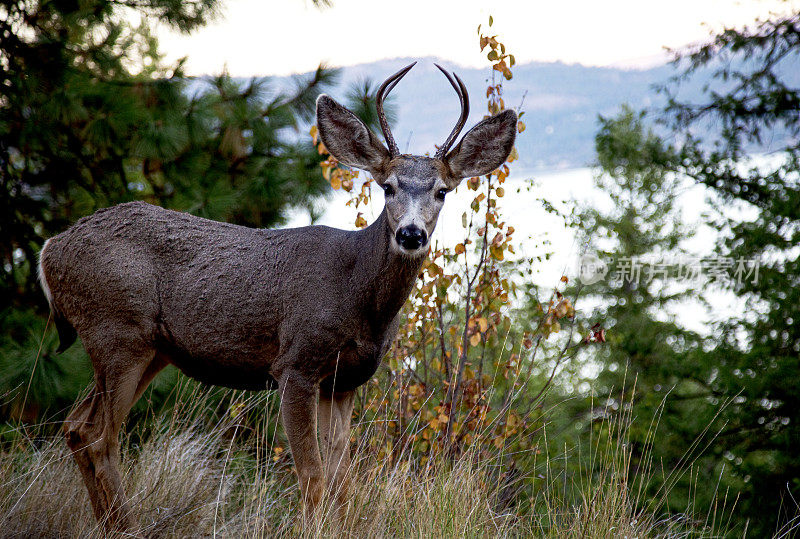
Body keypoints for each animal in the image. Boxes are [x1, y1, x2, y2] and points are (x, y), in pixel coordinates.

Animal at [39, 62, 520, 532]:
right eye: (388, 186)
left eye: (442, 191)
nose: (411, 234)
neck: (358, 294)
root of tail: (50, 249)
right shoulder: (297, 361)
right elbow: (312, 476)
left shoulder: (344, 382)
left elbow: (342, 480)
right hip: (118, 330)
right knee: (99, 437)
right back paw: (126, 526)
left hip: (148, 349)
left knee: (75, 427)